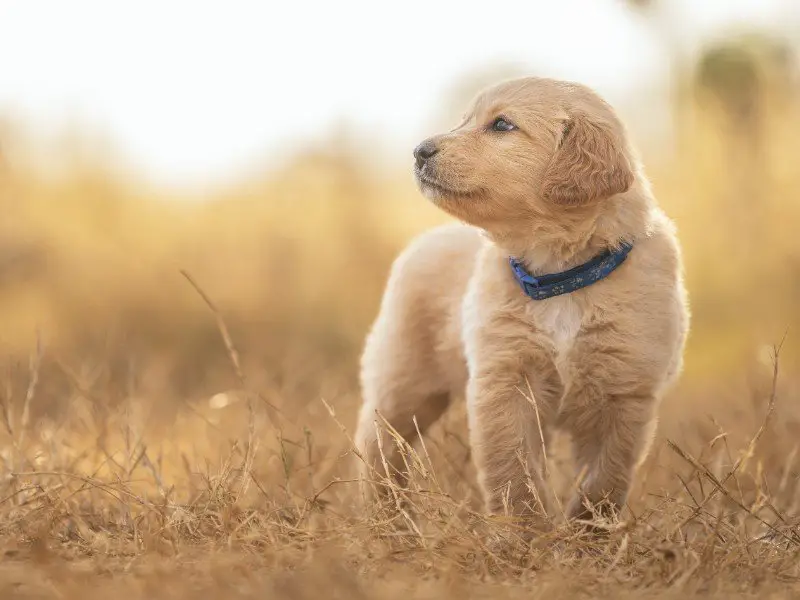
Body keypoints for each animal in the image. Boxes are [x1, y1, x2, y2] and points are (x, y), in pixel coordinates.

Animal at [354, 77, 688, 524]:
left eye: (502, 125)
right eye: (464, 120)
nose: (419, 150)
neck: (559, 276)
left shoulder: (625, 393)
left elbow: (603, 479)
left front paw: (588, 532)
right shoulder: (506, 380)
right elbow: (513, 471)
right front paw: (525, 530)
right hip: (401, 382)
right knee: (379, 445)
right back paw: (387, 519)